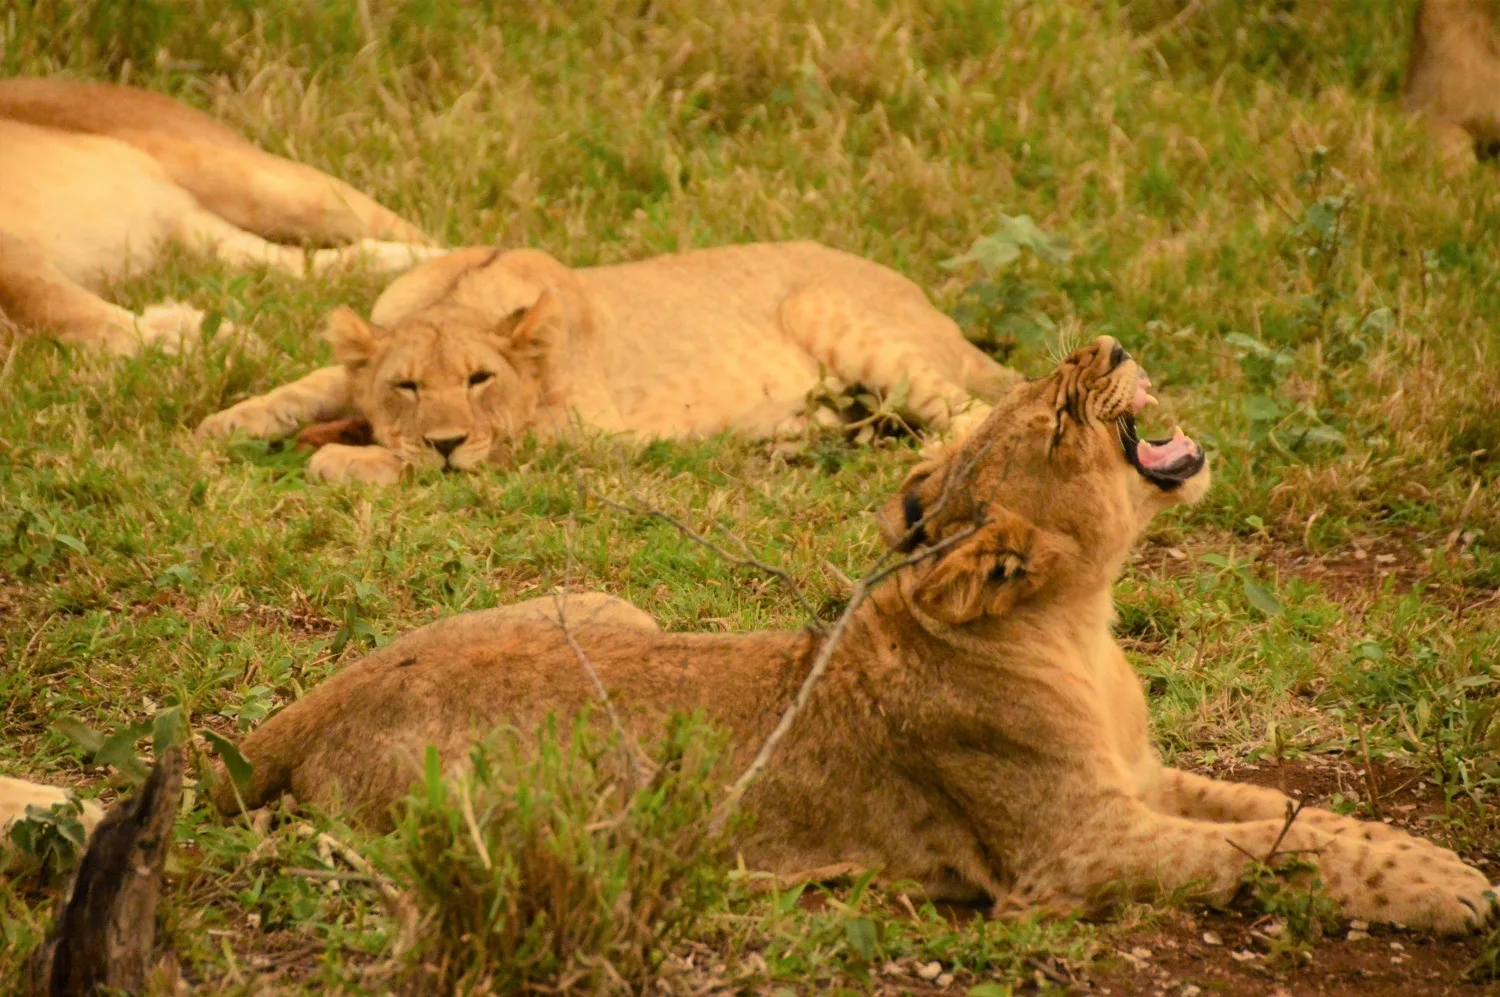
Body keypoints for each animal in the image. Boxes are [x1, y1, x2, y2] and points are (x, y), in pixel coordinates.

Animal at [0, 79, 441, 355]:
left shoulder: (15, 259)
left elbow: (57, 306)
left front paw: (207, 342)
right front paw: (189, 333)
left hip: (256, 181)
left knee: (423, 238)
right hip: (191, 225)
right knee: (310, 265)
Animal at [196, 236, 1020, 479]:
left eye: (480, 379)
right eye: (405, 385)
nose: (445, 442)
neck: (458, 296)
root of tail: (938, 312)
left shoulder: (587, 432)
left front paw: (349, 458)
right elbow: (306, 384)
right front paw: (216, 428)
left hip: (826, 306)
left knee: (982, 409)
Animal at [214, 340, 1500, 935]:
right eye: (1060, 416)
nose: (1108, 345)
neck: (1081, 629)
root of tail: (303, 711)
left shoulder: (1141, 778)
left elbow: (1296, 810)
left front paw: (1433, 856)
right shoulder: (1066, 856)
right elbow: (1271, 851)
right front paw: (1451, 891)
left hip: (612, 606)